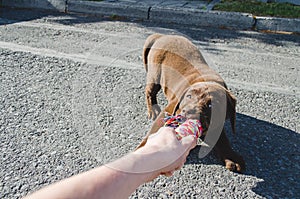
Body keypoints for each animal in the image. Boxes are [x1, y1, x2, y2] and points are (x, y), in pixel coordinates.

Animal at [137, 33, 245, 172]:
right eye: (188, 96)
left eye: (211, 105)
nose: (188, 112)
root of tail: (162, 35)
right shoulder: (170, 108)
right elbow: (154, 131)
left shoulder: (216, 125)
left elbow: (223, 140)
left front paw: (232, 157)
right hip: (155, 73)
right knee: (150, 92)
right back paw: (153, 110)